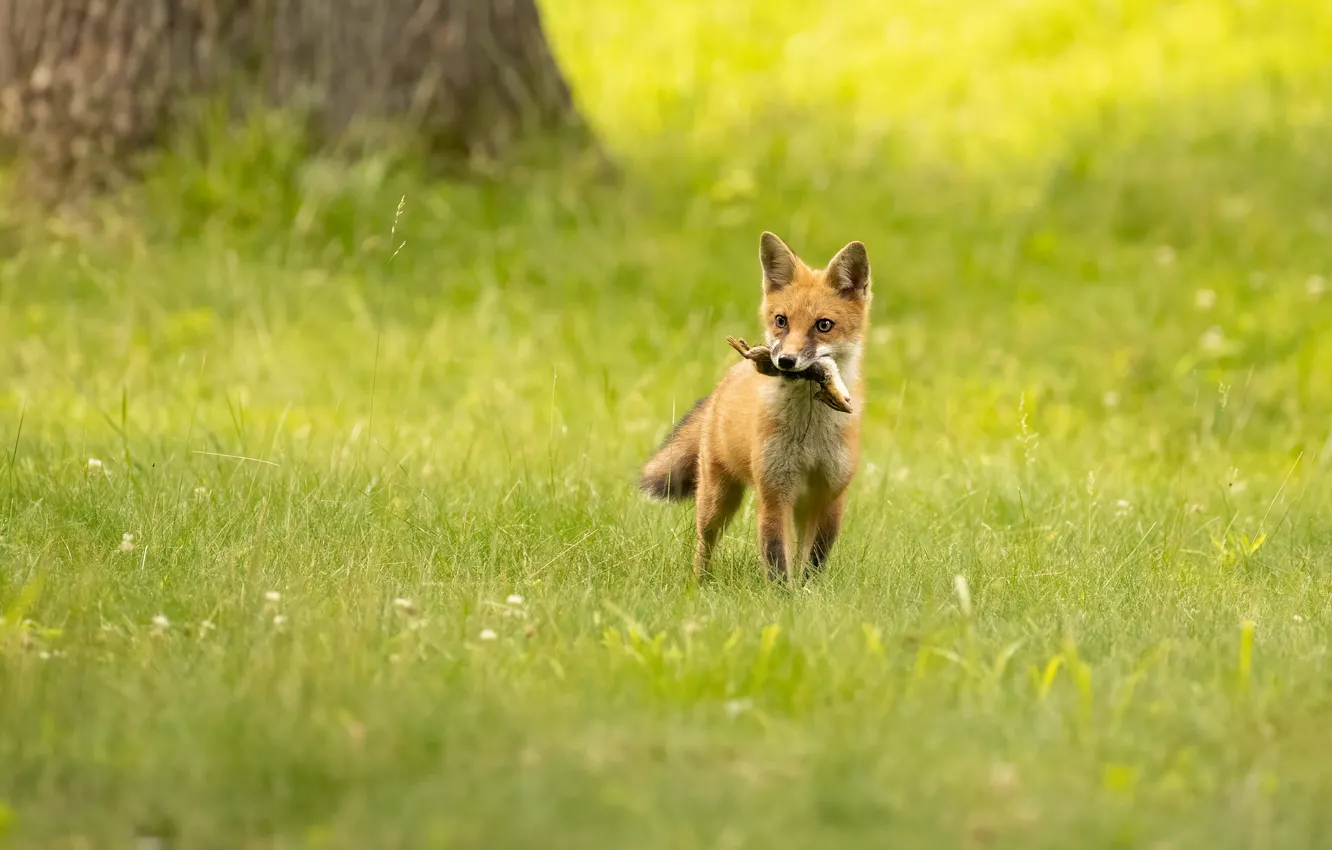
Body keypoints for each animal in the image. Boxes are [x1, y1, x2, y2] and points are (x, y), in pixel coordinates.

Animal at [640, 231, 871, 582]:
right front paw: (782, 595)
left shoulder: (830, 494)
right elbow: (776, 558)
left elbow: (813, 560)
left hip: (798, 504)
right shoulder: (774, 491)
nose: (785, 361)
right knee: (704, 544)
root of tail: (724, 383)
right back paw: (699, 583)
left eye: (823, 325)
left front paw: (809, 591)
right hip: (716, 501)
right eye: (781, 321)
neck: (810, 432)